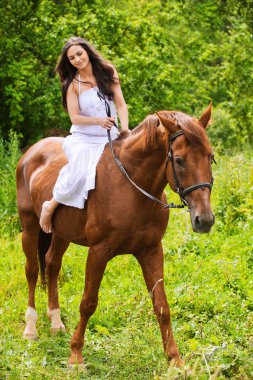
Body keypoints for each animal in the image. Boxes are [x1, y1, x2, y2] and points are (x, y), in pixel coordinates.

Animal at [15, 105, 213, 366]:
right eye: (179, 160)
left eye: (210, 156)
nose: (205, 219)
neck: (131, 186)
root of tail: (31, 152)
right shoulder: (98, 252)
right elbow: (88, 303)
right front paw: (76, 357)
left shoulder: (151, 250)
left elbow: (162, 305)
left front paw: (175, 360)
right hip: (28, 226)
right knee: (32, 271)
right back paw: (31, 328)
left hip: (61, 234)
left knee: (52, 264)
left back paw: (56, 323)